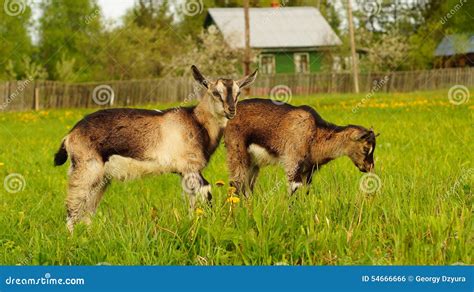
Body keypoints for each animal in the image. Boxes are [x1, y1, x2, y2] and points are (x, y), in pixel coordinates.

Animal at [54, 66, 260, 233]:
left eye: (238, 92)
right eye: (215, 92)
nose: (231, 110)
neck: (196, 122)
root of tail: (70, 135)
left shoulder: (186, 173)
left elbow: (192, 199)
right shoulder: (190, 167)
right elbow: (206, 193)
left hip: (100, 178)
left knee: (88, 210)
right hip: (86, 169)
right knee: (73, 207)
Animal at [225, 98, 378, 196]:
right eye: (366, 148)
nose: (369, 168)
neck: (315, 132)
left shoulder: (308, 170)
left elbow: (306, 191)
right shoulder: (293, 163)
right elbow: (294, 190)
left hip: (253, 163)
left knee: (247, 187)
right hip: (236, 151)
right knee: (236, 184)